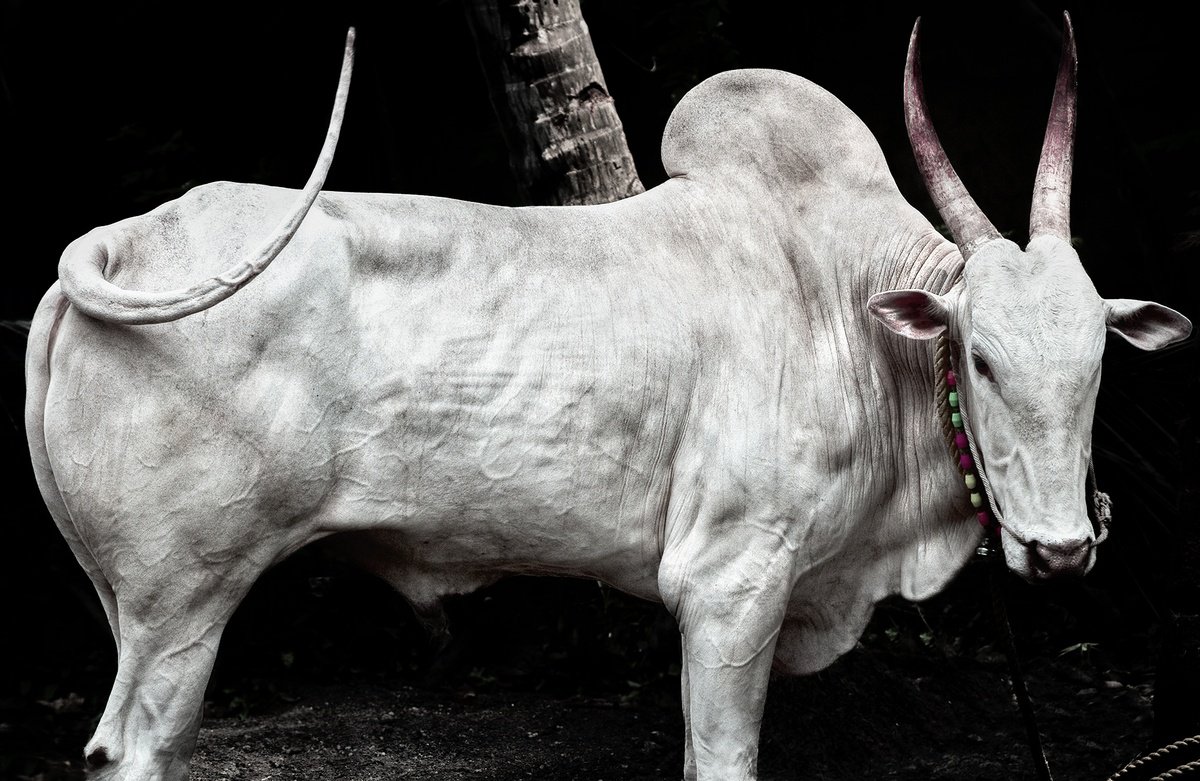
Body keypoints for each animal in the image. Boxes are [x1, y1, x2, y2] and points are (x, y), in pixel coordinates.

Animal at [25, 15, 1191, 781]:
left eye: (1097, 358)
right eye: (979, 356)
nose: (1062, 548)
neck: (846, 306)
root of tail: (124, 236)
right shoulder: (728, 586)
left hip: (129, 605)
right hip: (182, 601)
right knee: (135, 748)